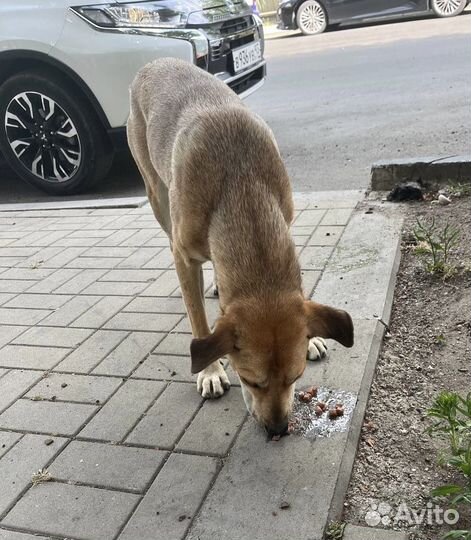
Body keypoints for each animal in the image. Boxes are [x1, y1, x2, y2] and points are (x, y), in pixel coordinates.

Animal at [127, 58, 352, 438]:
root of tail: (155, 63)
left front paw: (313, 339)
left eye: (296, 377)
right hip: (156, 195)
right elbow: (198, 319)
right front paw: (210, 371)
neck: (241, 187)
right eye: (250, 380)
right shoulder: (185, 257)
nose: (278, 429)